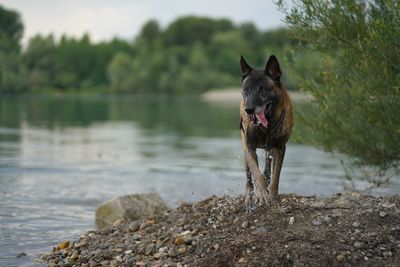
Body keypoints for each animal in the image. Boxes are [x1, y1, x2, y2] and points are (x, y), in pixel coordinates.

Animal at [239, 55, 292, 211]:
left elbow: (276, 176)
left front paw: (272, 195)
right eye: (246, 90)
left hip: (271, 149)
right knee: (249, 179)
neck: (265, 128)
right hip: (245, 152)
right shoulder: (249, 148)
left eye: (263, 90)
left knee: (268, 166)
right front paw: (261, 195)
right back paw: (249, 199)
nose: (248, 110)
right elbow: (257, 175)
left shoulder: (280, 148)